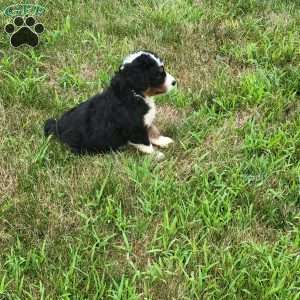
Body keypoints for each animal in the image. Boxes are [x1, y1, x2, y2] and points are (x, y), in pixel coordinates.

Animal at [44, 51, 176, 159]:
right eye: (158, 74)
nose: (174, 82)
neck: (133, 93)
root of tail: (57, 126)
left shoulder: (145, 122)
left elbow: (153, 131)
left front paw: (164, 141)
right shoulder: (135, 129)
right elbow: (146, 144)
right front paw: (156, 155)